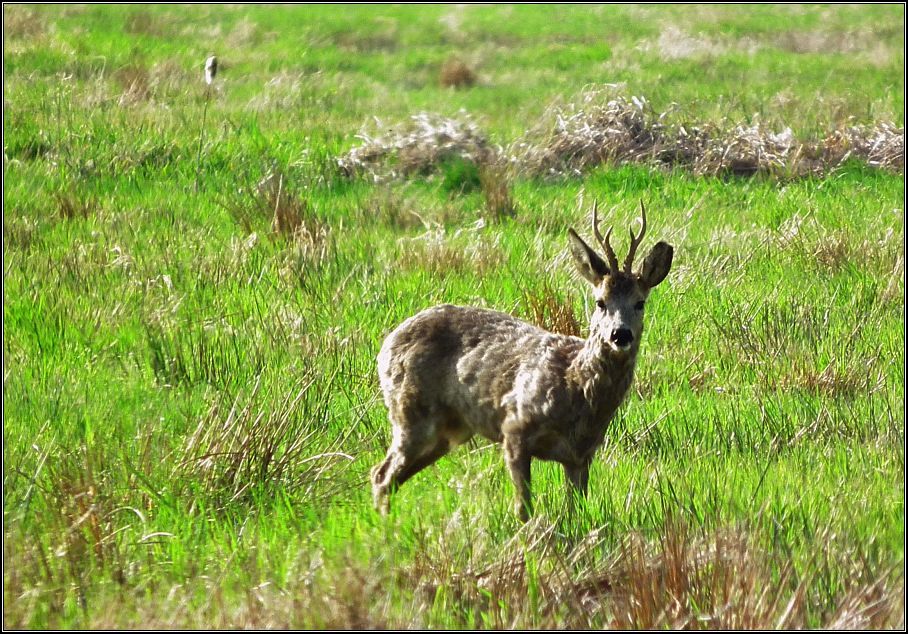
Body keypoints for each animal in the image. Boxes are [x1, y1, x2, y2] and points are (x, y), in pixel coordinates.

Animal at [370, 201, 672, 520]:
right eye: (600, 301)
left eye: (640, 302)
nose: (620, 334)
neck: (576, 388)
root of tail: (387, 344)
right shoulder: (514, 428)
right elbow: (523, 508)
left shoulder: (581, 455)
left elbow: (575, 511)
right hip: (410, 411)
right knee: (382, 474)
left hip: (446, 431)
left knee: (389, 477)